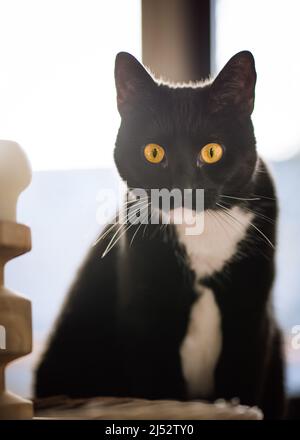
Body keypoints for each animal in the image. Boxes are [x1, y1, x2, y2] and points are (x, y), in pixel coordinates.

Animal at [35, 50, 286, 420]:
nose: (181, 188)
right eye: (153, 152)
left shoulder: (250, 314)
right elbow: (158, 384)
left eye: (212, 151)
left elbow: (243, 380)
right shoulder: (147, 316)